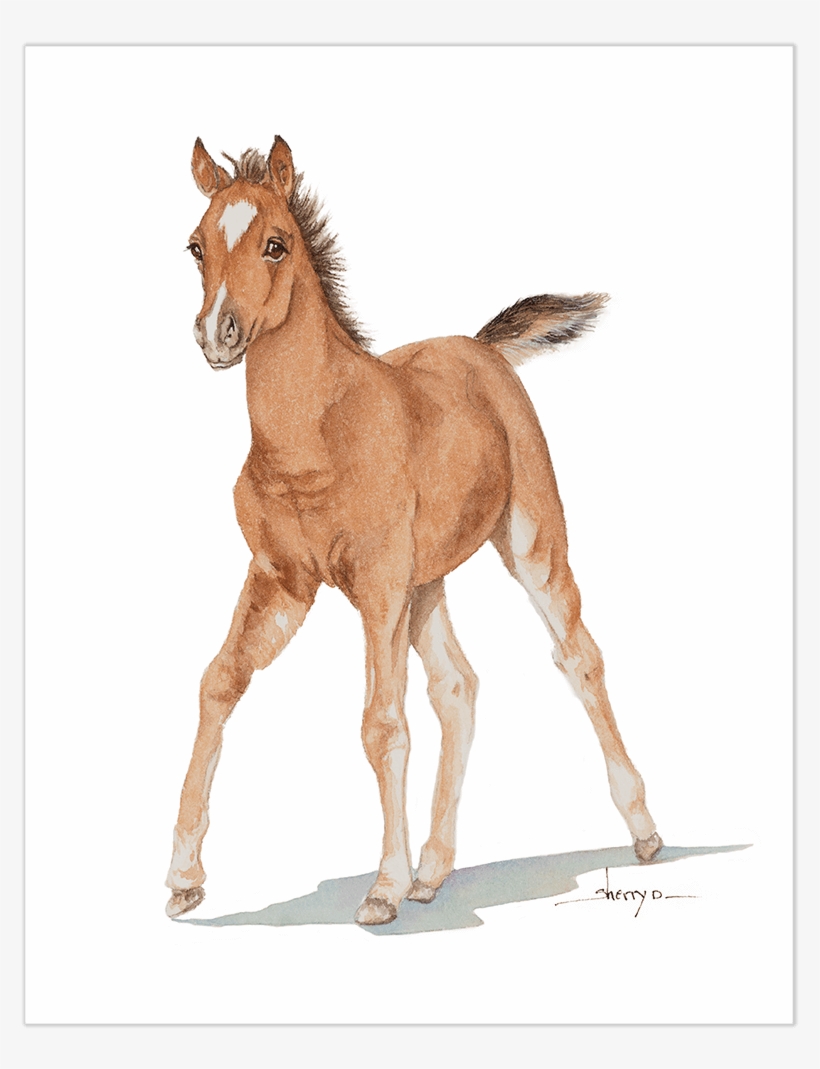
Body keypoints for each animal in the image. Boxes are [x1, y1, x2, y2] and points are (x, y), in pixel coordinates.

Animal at [165, 136, 663, 925]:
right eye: (195, 245)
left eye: (275, 244)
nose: (218, 336)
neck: (315, 435)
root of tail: (481, 347)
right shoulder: (283, 580)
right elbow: (219, 682)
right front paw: (183, 876)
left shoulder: (375, 585)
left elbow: (381, 721)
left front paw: (382, 887)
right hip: (424, 582)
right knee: (457, 687)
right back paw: (433, 870)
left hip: (527, 543)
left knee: (578, 657)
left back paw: (643, 832)